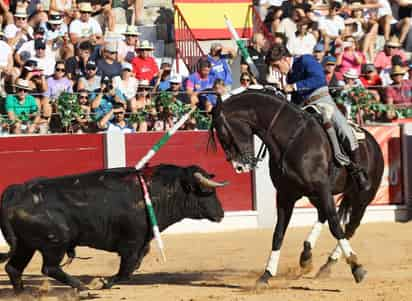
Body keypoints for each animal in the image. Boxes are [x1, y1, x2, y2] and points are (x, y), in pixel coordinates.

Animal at [0, 163, 229, 292]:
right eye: (206, 191)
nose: (221, 214)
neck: (157, 192)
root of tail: (16, 191)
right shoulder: (131, 243)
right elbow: (126, 271)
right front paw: (101, 283)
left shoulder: (142, 244)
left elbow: (131, 269)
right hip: (54, 243)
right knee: (49, 268)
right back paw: (83, 288)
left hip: (26, 245)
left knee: (13, 267)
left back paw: (22, 293)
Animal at [211, 88, 384, 286]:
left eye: (223, 134)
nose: (239, 167)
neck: (291, 138)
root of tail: (373, 143)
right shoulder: (285, 195)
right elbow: (278, 233)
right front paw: (266, 274)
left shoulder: (322, 188)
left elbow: (335, 225)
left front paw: (356, 268)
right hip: (315, 195)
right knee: (324, 215)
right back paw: (309, 257)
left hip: (362, 197)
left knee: (350, 226)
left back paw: (331, 261)